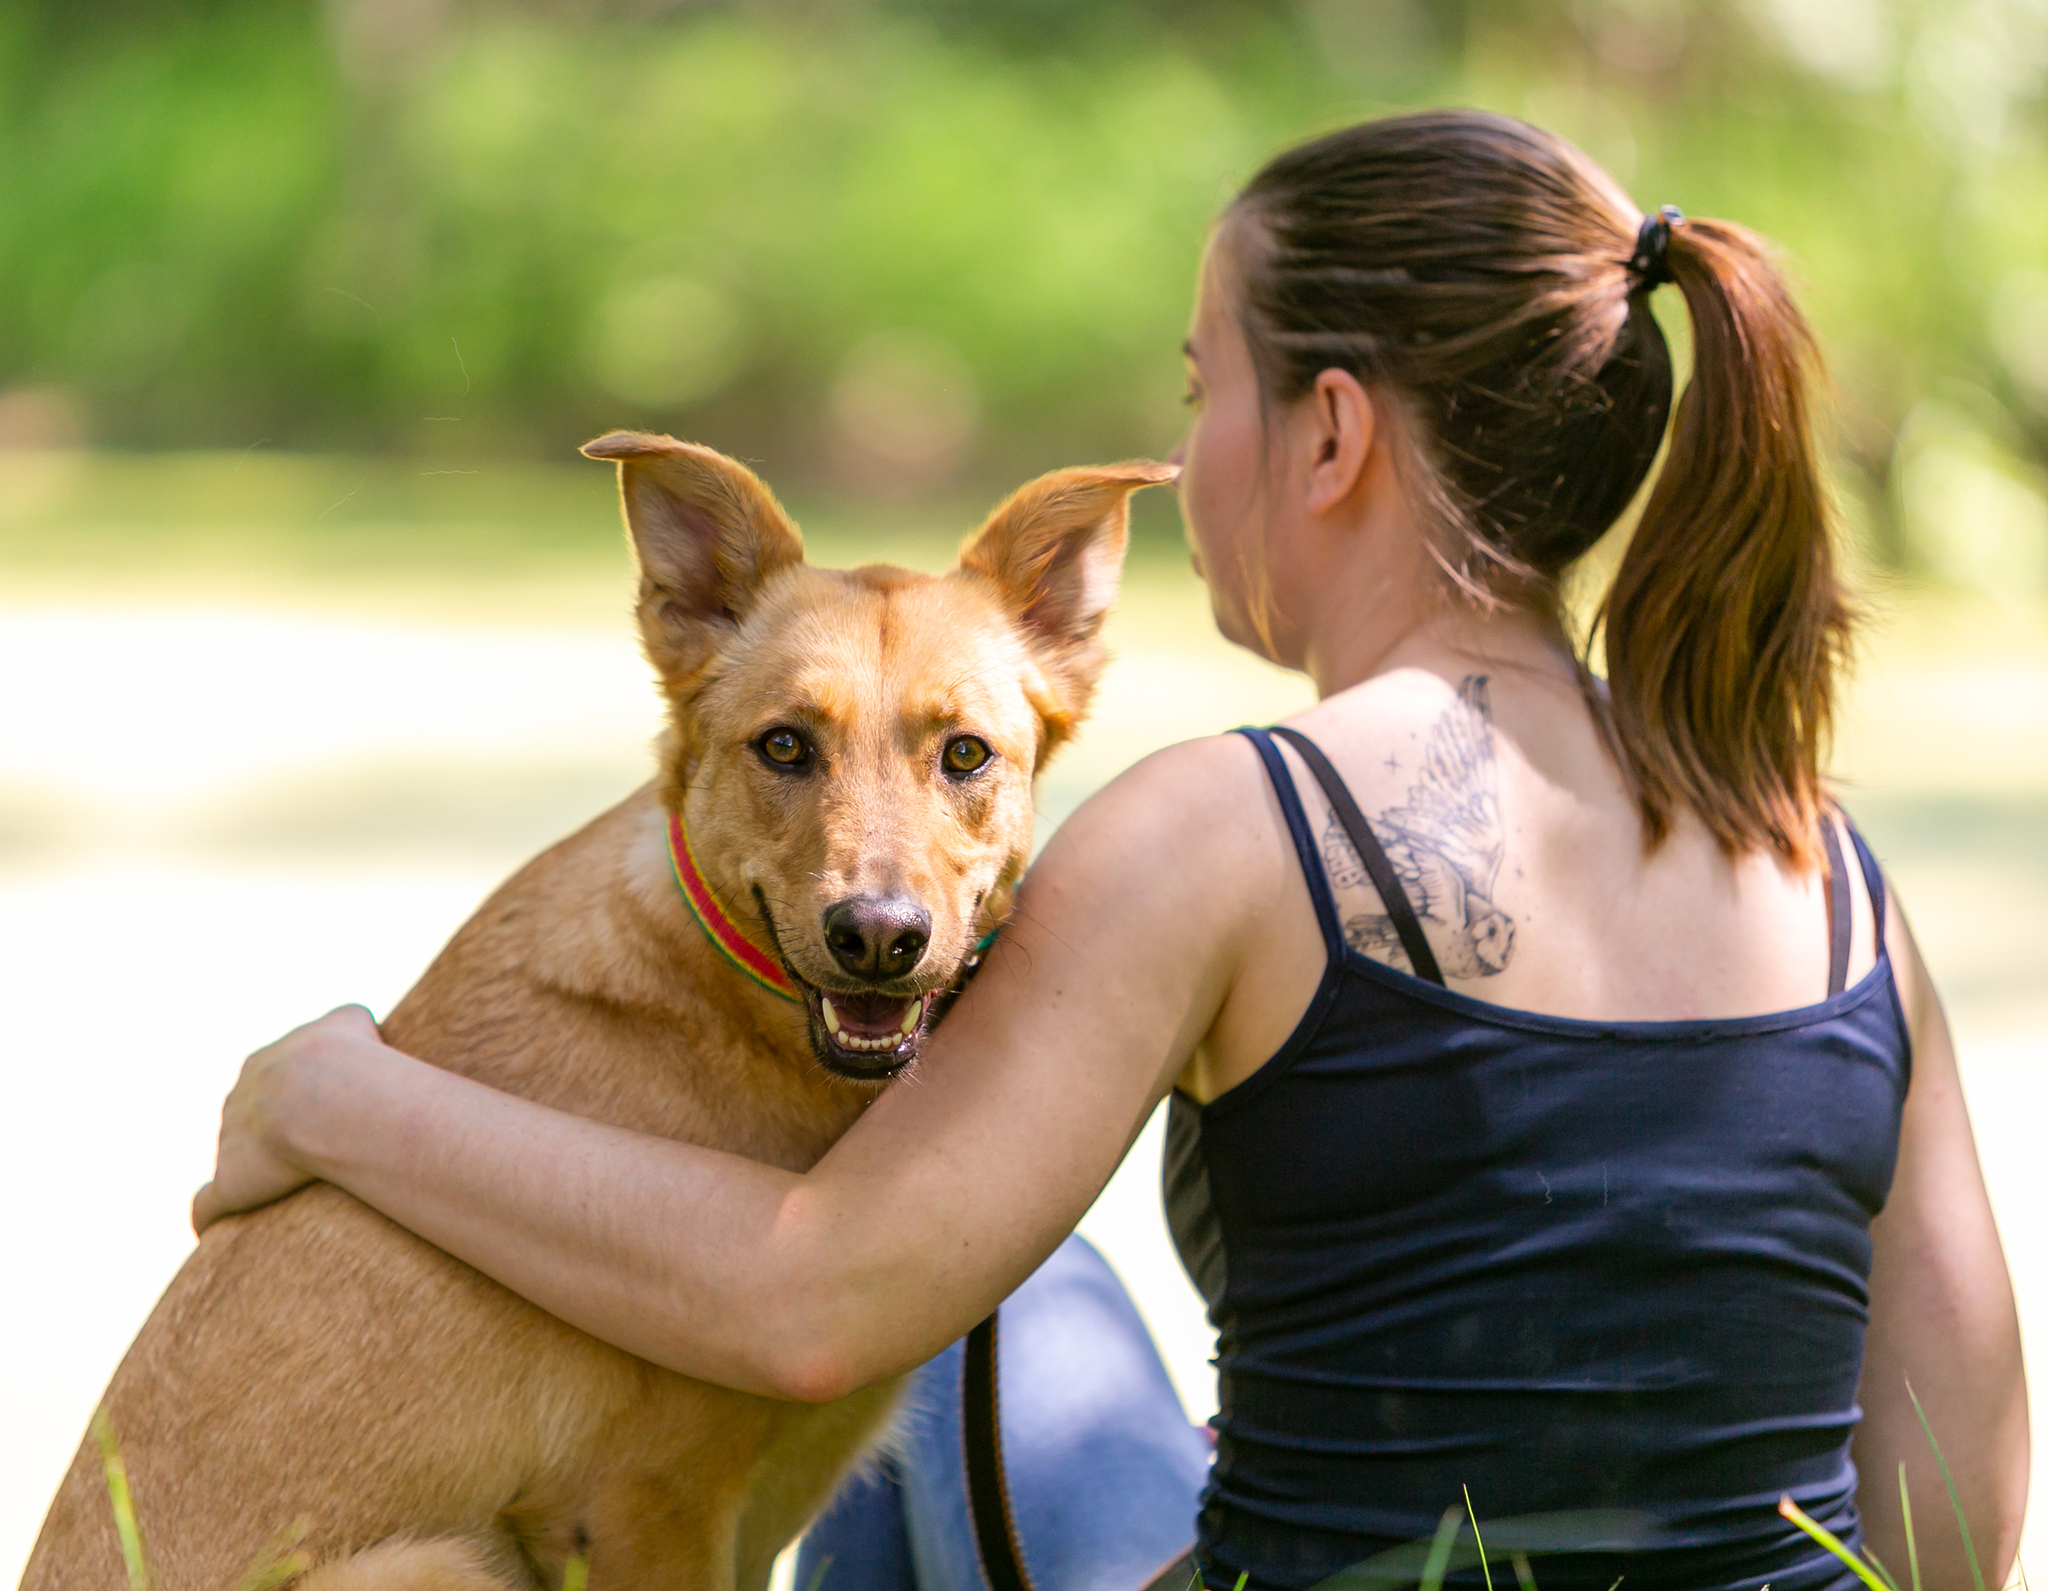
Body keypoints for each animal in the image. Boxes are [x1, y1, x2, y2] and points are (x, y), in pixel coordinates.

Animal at [24, 434, 1179, 1588]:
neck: (720, 1005)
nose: (878, 937)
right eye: (785, 746)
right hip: (436, 1560)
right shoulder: (639, 1507)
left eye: (966, 753)